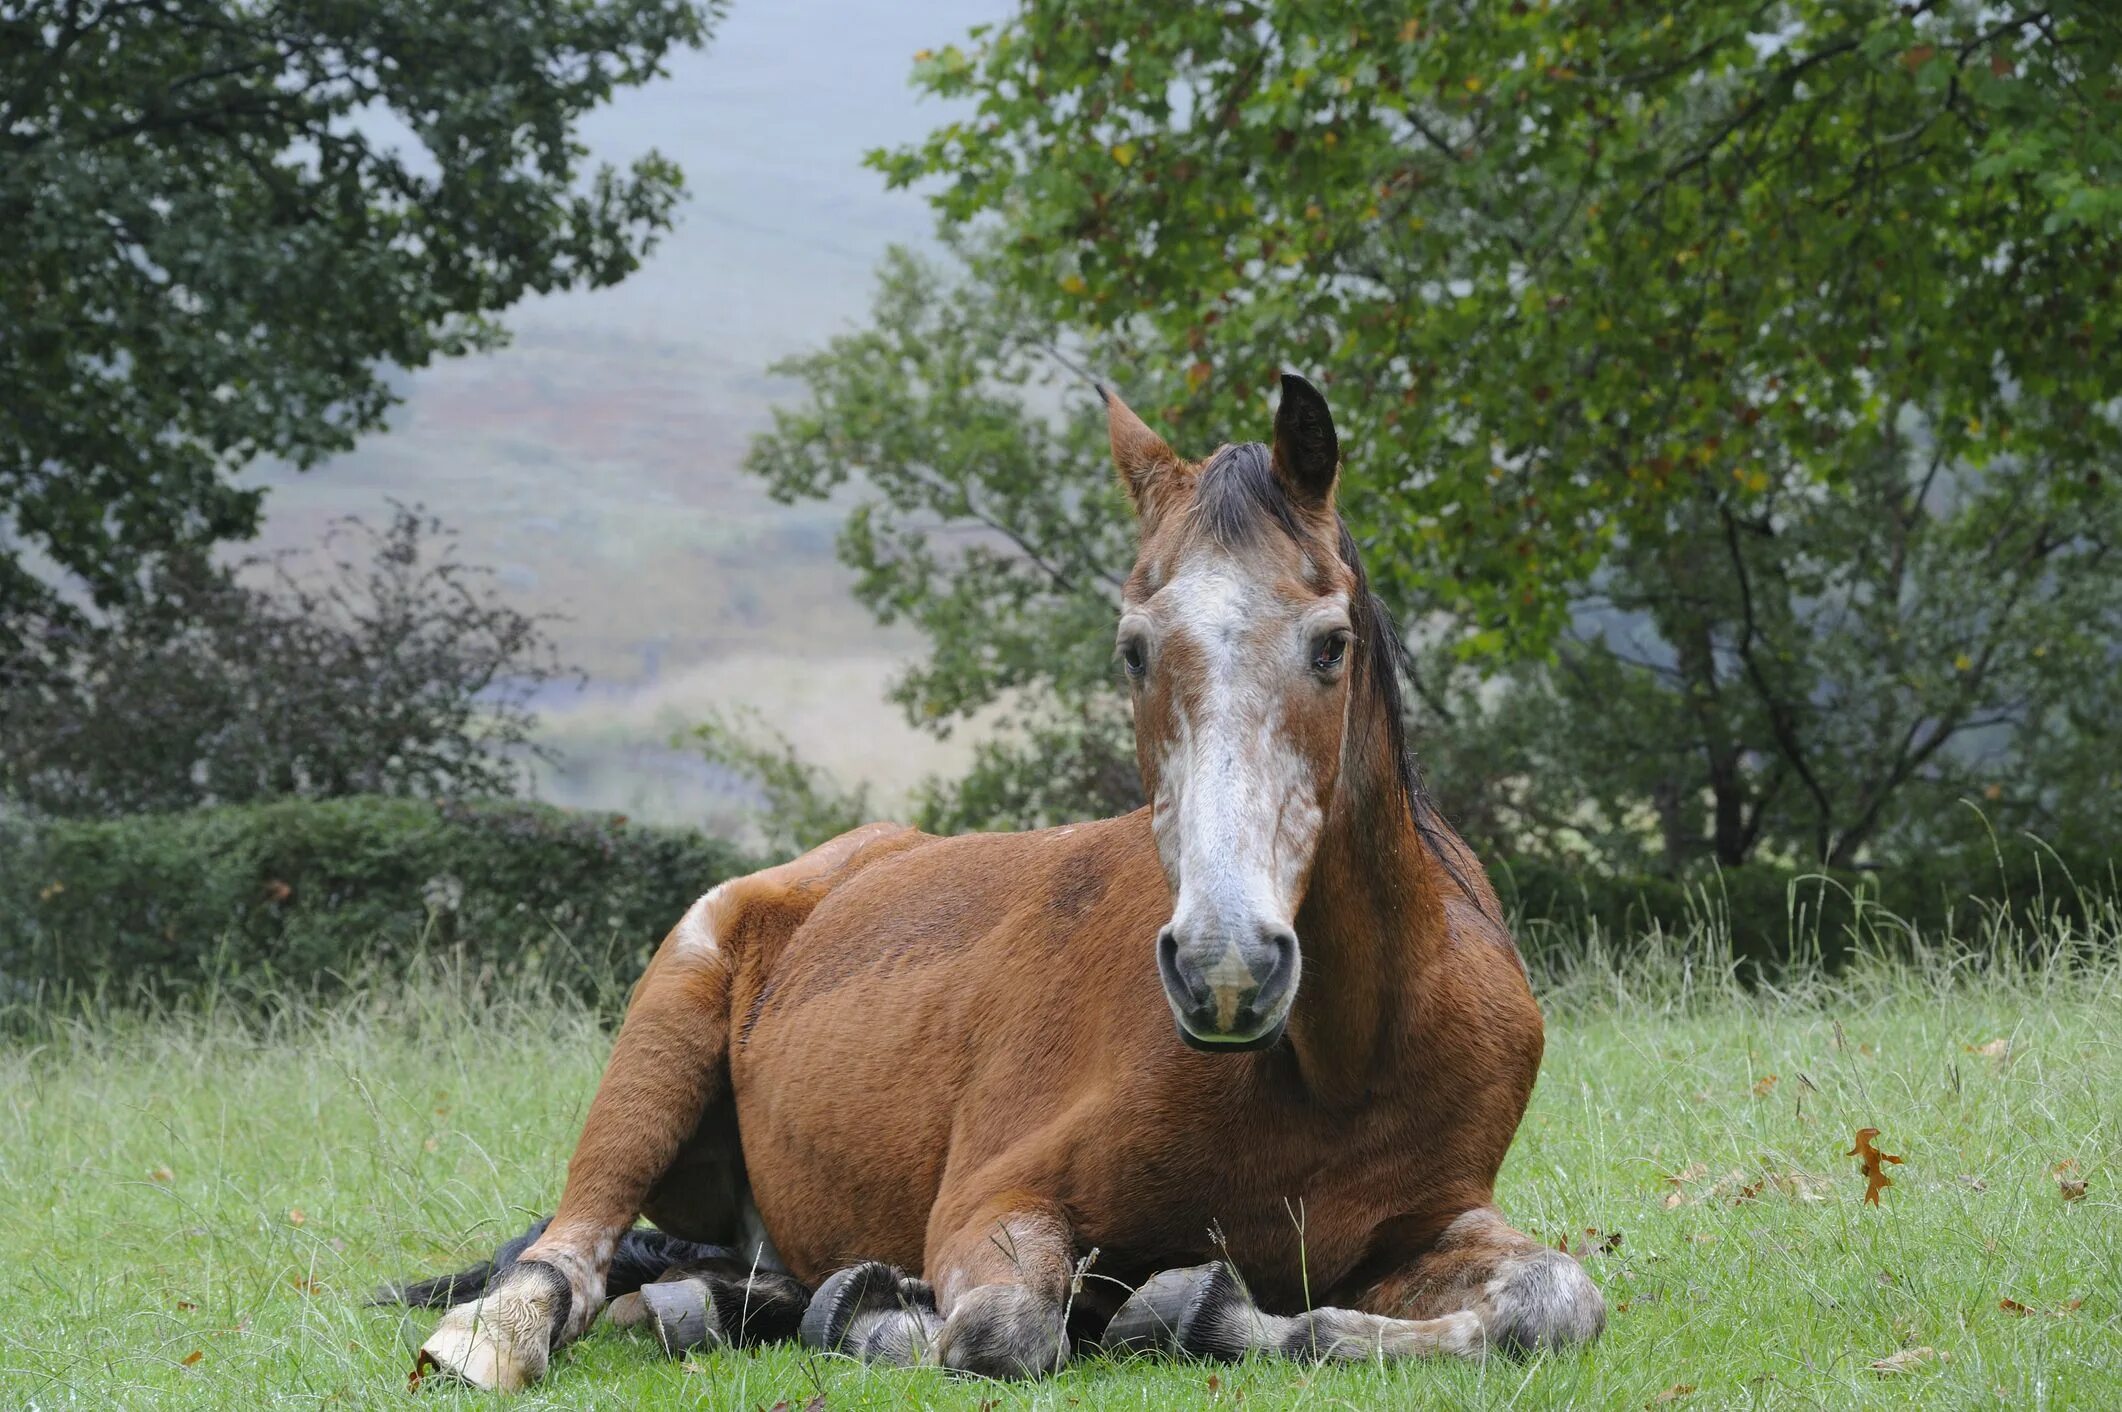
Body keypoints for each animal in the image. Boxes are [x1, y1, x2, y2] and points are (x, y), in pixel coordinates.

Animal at [390, 371, 1595, 1384]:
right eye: (1132, 648)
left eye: (1330, 643)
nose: (1225, 968)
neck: (1342, 1057)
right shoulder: (992, 1200)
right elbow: (1005, 1327)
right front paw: (907, 1315)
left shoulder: (1428, 1225)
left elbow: (1555, 1298)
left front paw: (1185, 1307)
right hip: (662, 1029)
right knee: (571, 1255)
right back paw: (505, 1335)